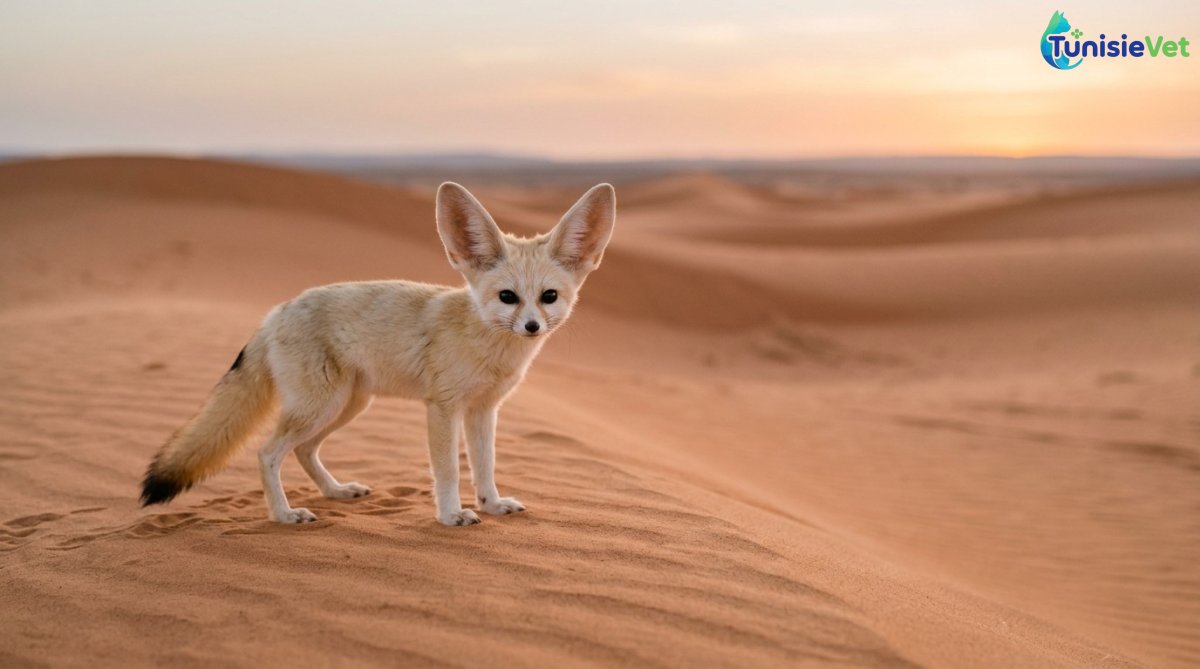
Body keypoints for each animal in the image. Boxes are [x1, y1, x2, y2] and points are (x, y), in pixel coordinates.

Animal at [139, 181, 616, 526]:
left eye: (549, 297)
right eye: (507, 297)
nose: (532, 327)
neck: (487, 345)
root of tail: (277, 310)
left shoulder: (483, 410)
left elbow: (485, 467)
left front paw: (491, 504)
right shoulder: (443, 408)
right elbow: (448, 470)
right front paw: (450, 515)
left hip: (346, 406)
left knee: (303, 451)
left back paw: (335, 492)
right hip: (321, 406)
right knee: (267, 453)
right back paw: (283, 514)